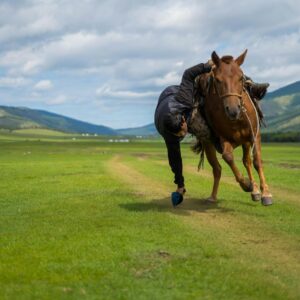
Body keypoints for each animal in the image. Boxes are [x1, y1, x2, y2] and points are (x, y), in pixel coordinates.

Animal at [193, 50, 274, 205]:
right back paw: (213, 196)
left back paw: (256, 191)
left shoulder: (254, 135)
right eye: (217, 80)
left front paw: (266, 193)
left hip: (245, 141)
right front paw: (246, 184)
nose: (233, 110)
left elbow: (257, 161)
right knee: (217, 168)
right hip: (208, 143)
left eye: (241, 77)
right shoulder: (223, 138)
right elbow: (228, 157)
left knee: (247, 162)